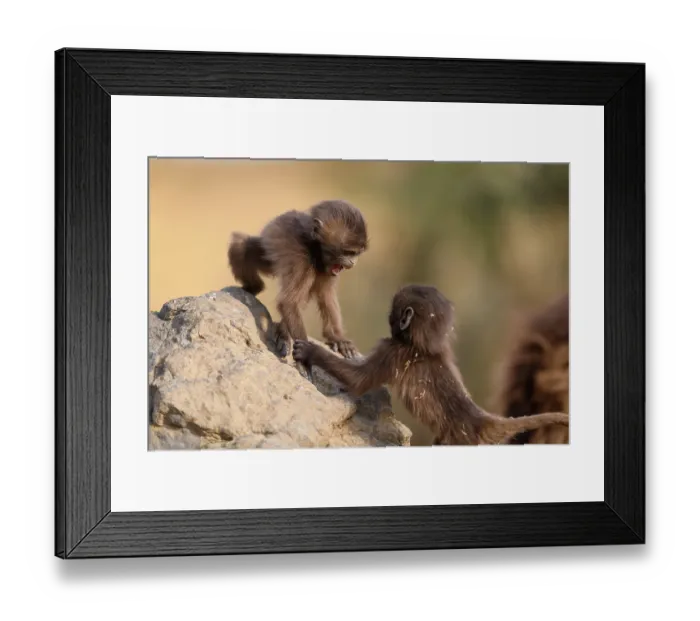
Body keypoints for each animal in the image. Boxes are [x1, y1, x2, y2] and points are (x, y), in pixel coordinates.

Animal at [227, 199, 368, 364]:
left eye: (356, 253)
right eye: (348, 252)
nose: (353, 262)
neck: (314, 247)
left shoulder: (326, 268)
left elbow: (323, 295)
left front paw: (337, 337)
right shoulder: (301, 259)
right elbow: (289, 302)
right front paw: (307, 355)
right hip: (267, 253)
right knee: (241, 244)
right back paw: (253, 287)